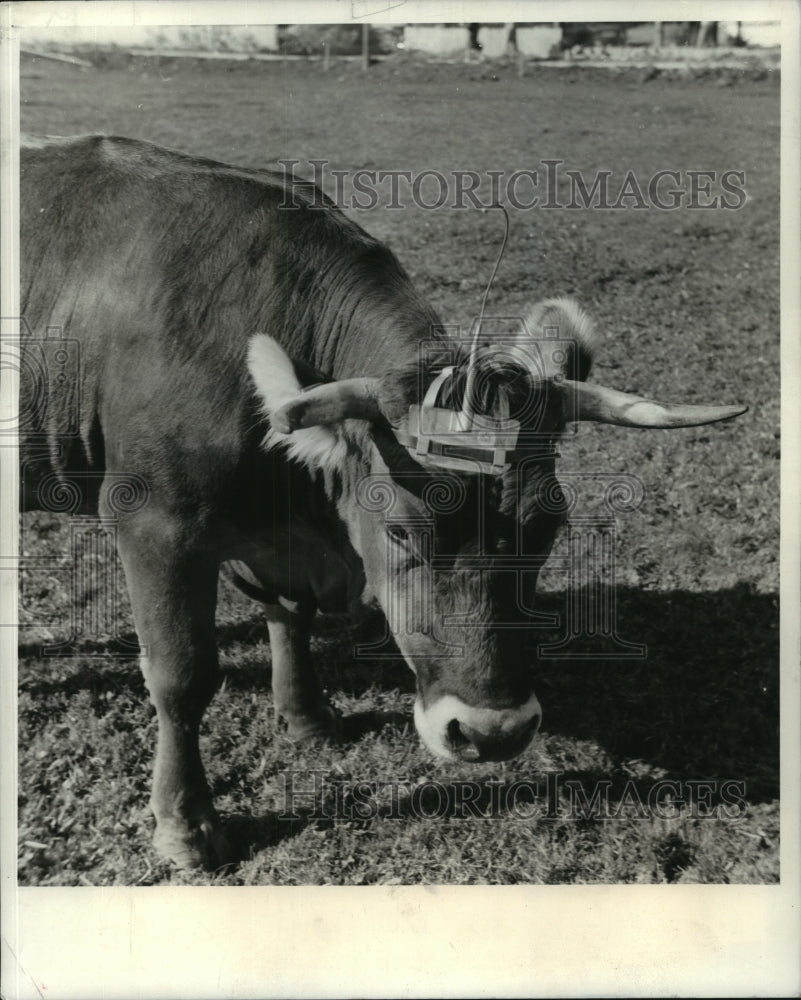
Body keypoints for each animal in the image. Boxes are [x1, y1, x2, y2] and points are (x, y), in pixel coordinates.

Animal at [18, 135, 744, 868]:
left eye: (546, 529)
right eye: (399, 531)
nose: (493, 732)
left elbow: (290, 615)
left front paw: (307, 718)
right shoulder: (155, 523)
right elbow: (181, 676)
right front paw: (186, 825)